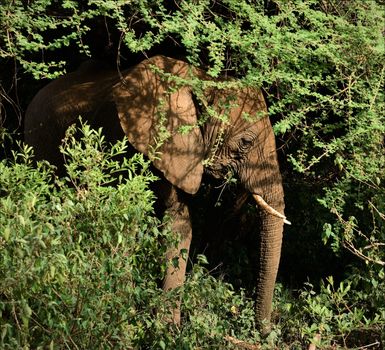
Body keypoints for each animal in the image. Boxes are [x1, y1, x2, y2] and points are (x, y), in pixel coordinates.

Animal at [24, 54, 288, 328]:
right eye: (246, 143)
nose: (265, 330)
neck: (202, 81)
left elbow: (178, 222)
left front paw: (166, 328)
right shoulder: (123, 139)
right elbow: (125, 220)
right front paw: (127, 321)